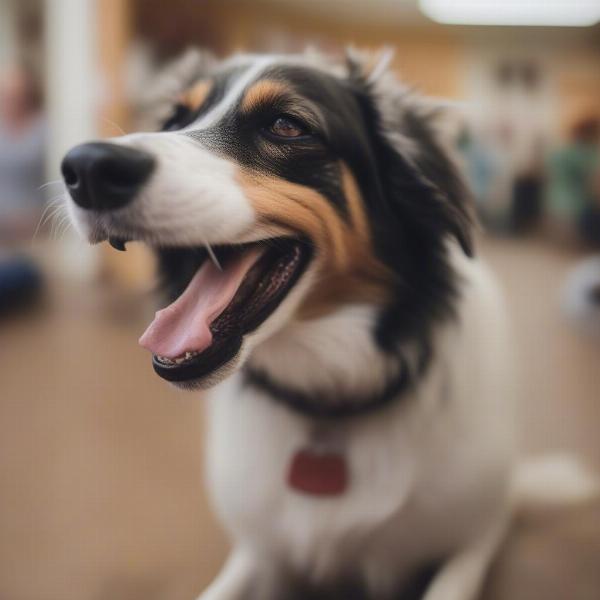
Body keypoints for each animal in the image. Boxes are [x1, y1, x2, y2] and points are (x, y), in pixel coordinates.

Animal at [61, 50, 596, 600]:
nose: (87, 168)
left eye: (286, 124)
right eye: (174, 121)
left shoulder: (466, 541)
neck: (331, 399)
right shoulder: (262, 548)